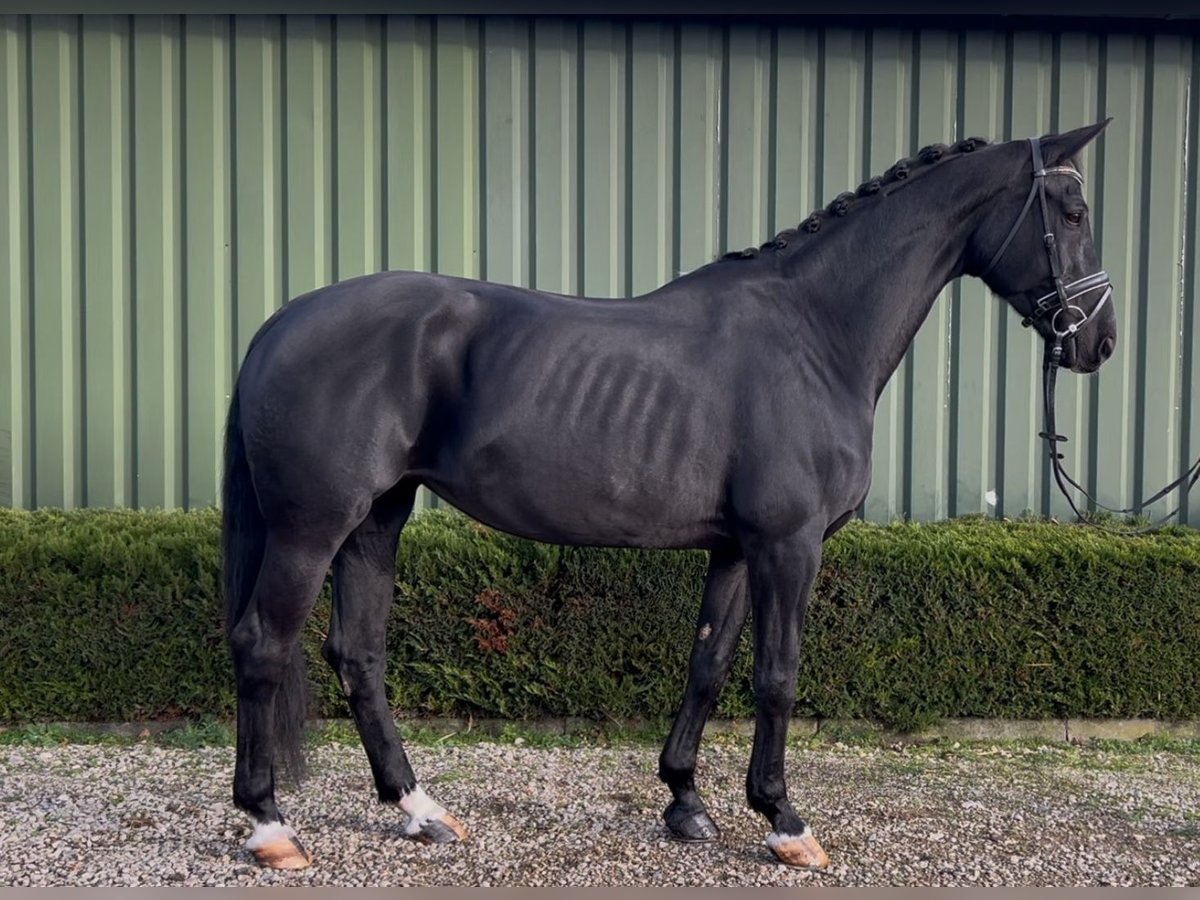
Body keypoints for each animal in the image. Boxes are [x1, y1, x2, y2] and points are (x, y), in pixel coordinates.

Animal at [223, 121, 1113, 873]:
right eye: (1072, 210)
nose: (1098, 342)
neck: (815, 336)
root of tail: (282, 323)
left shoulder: (736, 548)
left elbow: (709, 664)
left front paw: (686, 801)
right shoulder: (790, 545)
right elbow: (777, 674)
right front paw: (785, 822)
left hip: (378, 519)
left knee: (358, 655)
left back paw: (419, 811)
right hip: (312, 528)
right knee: (264, 644)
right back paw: (270, 826)